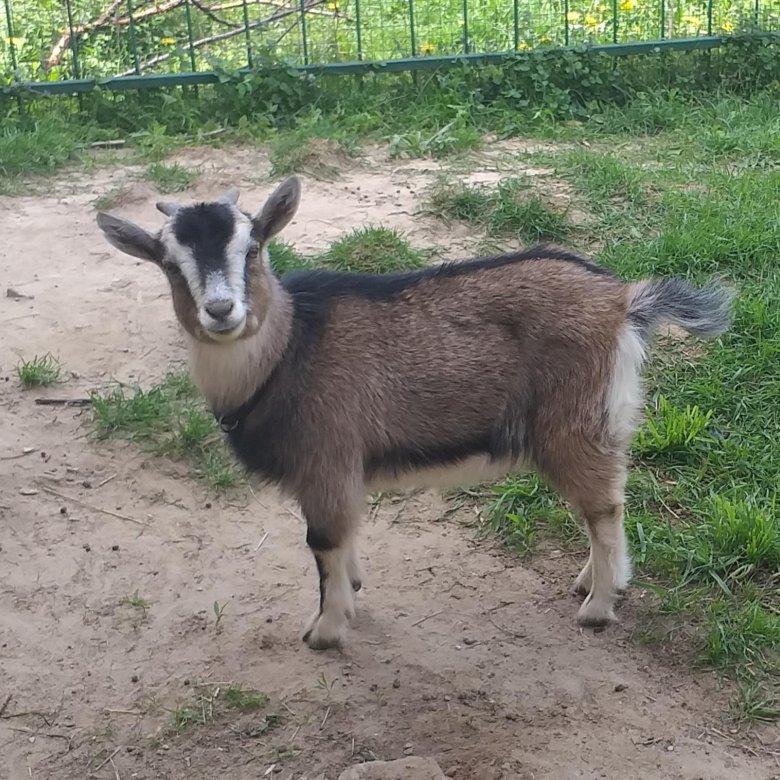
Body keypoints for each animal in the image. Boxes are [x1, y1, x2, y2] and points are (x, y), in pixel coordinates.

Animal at [96, 176, 733, 650]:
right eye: (168, 264)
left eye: (252, 249)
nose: (221, 311)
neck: (286, 352)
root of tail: (624, 302)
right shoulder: (337, 472)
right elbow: (343, 536)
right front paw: (352, 588)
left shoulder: (325, 457)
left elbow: (321, 541)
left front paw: (325, 629)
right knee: (603, 505)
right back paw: (592, 582)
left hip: (574, 423)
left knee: (604, 507)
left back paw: (599, 606)